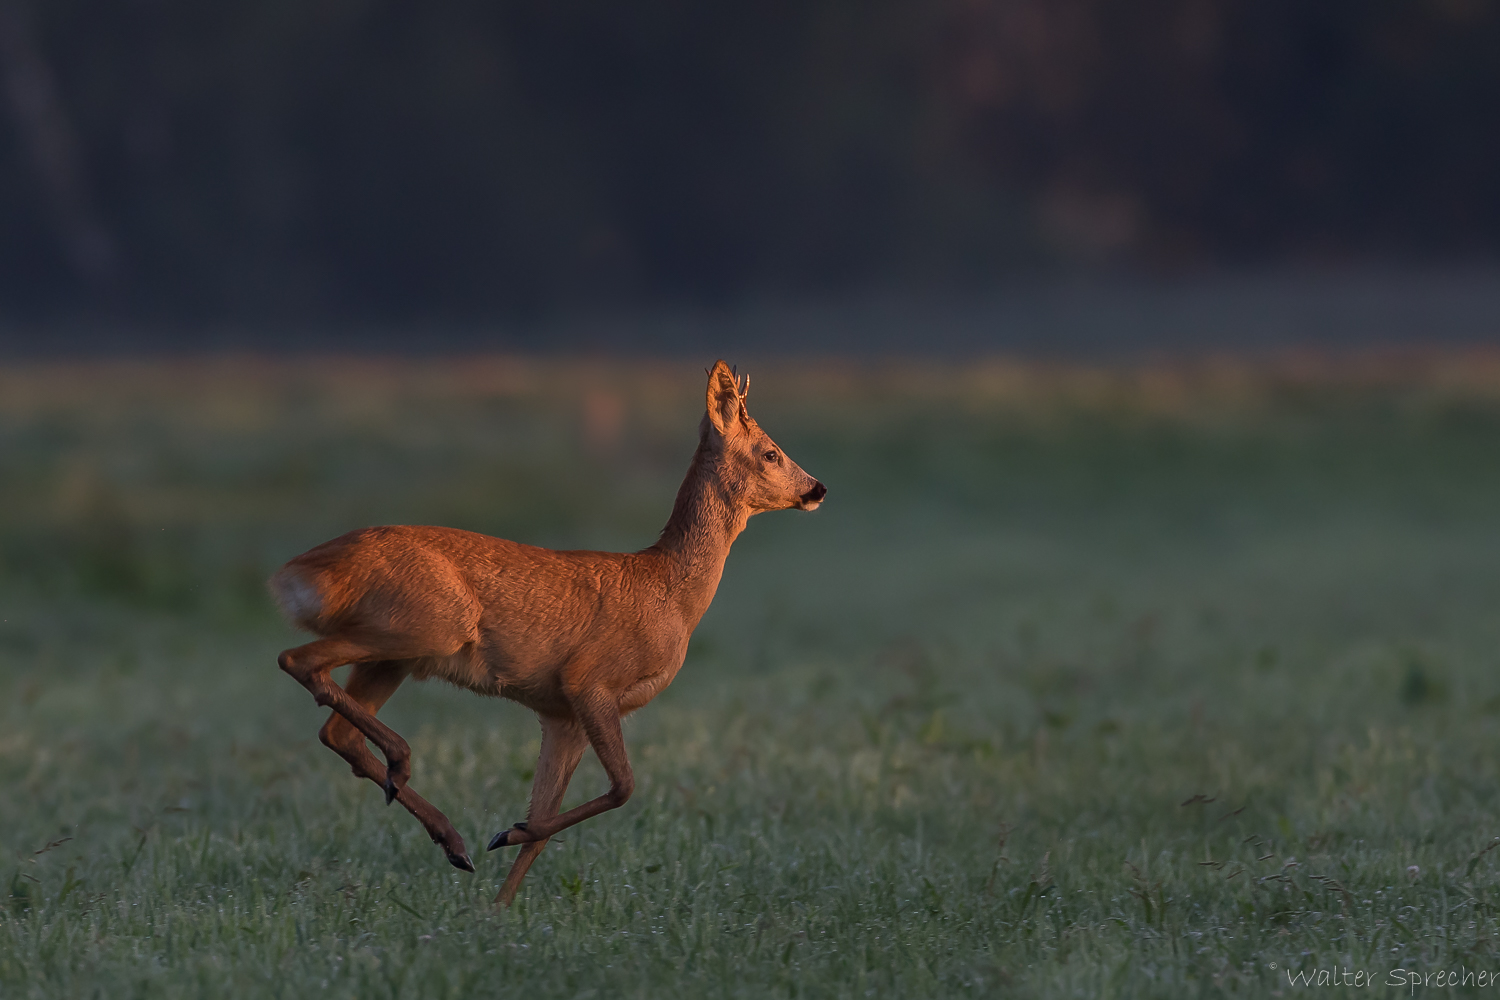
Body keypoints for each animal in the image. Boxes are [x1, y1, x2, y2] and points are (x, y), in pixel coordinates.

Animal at [271, 361, 834, 905]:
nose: (818, 488)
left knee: (335, 728)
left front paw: (498, 901)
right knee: (295, 660)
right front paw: (505, 833)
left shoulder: (562, 714)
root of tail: (304, 570)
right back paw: (406, 767)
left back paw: (452, 842)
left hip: (397, 654)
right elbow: (625, 786)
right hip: (428, 626)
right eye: (770, 452)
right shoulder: (589, 680)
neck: (670, 592)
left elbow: (548, 823)